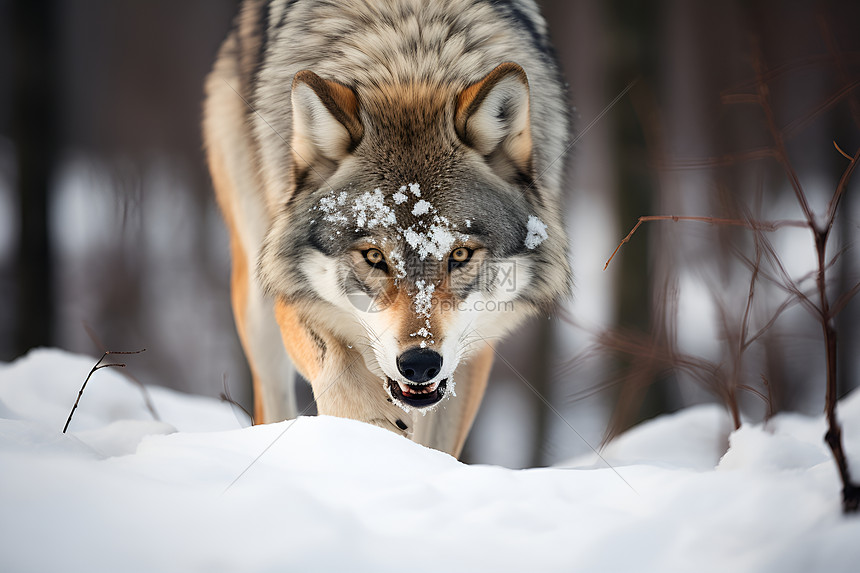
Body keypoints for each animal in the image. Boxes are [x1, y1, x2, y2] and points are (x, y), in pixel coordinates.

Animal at [203, 0, 572, 456]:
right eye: (374, 257)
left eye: (460, 254)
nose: (419, 364)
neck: (411, 57)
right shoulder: (288, 283)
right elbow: (342, 372)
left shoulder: (475, 344)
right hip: (256, 302)